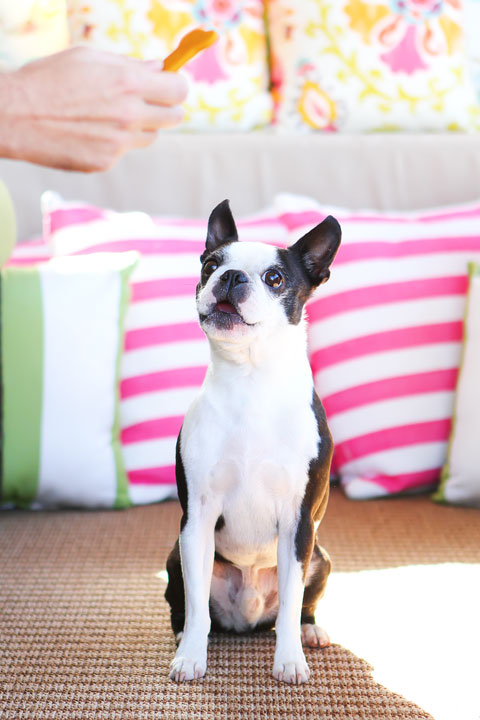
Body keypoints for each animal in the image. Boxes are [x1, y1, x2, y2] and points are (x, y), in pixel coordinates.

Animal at [165, 200, 342, 684]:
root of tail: (246, 618)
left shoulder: (299, 523)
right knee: (185, 603)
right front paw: (191, 656)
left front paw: (290, 661)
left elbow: (292, 603)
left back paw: (311, 631)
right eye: (210, 265)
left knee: (300, 604)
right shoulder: (197, 519)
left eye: (275, 278)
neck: (250, 379)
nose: (231, 277)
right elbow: (196, 607)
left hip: (320, 556)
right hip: (174, 556)